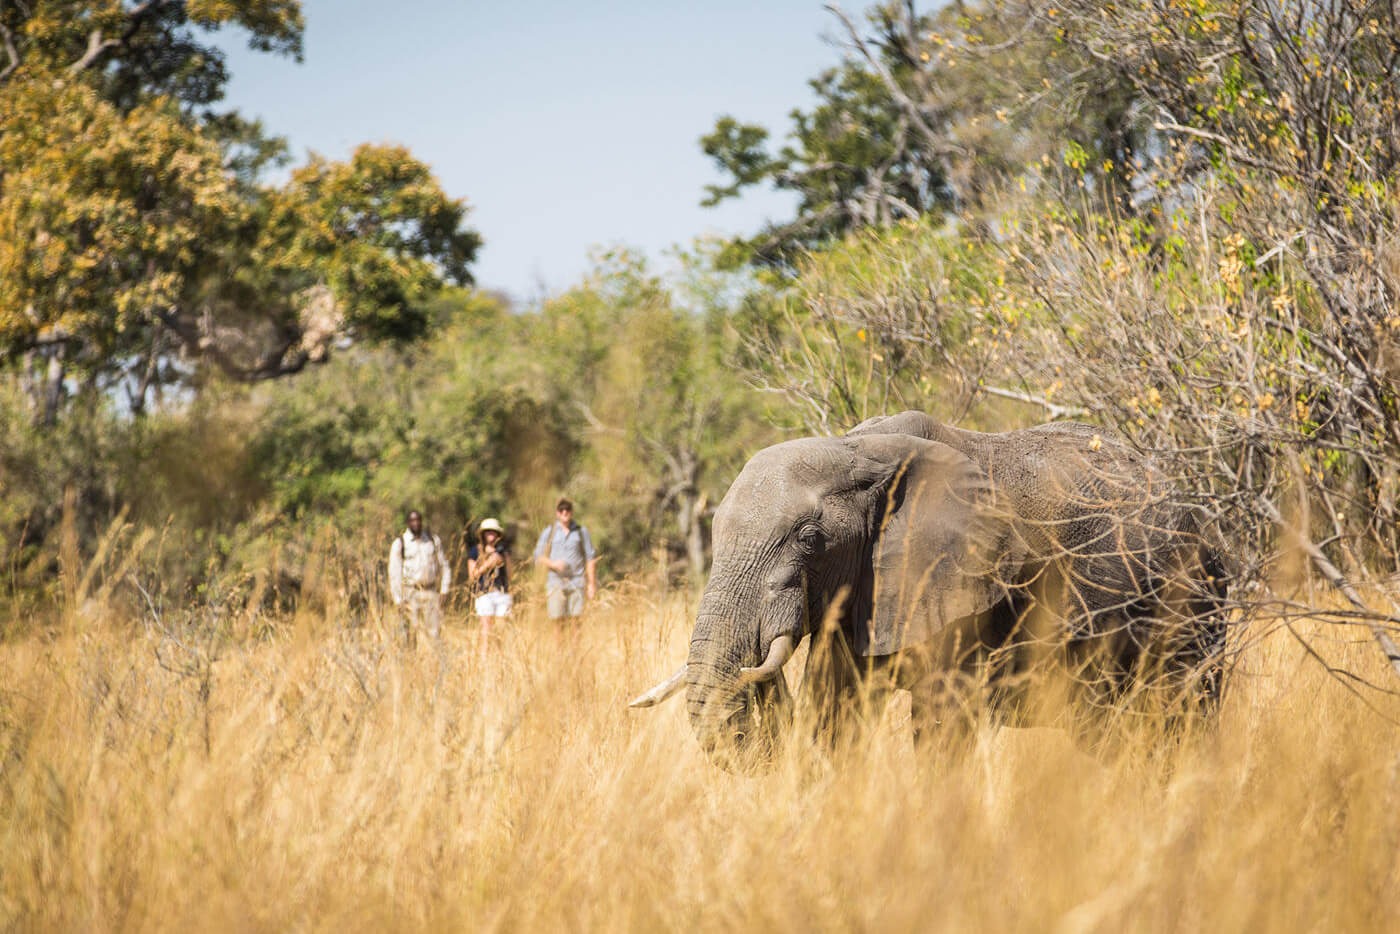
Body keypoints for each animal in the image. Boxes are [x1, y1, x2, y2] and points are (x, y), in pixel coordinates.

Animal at [630, 411, 1228, 770]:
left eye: (809, 539)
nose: (756, 668)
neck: (858, 449)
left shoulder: (964, 583)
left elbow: (941, 721)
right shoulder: (866, 588)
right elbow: (835, 712)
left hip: (1194, 598)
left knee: (1183, 716)